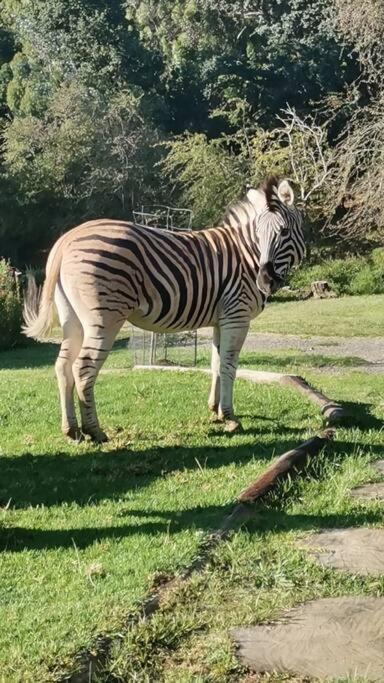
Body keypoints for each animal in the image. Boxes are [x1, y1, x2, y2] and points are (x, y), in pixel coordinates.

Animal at [23, 176, 306, 444]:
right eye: (259, 233)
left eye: (283, 232)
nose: (265, 281)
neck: (247, 254)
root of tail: (67, 238)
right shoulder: (237, 315)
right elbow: (228, 365)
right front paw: (230, 417)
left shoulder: (222, 318)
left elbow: (215, 364)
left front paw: (214, 410)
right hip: (105, 316)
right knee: (83, 368)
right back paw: (94, 431)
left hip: (72, 318)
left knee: (62, 366)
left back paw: (71, 431)